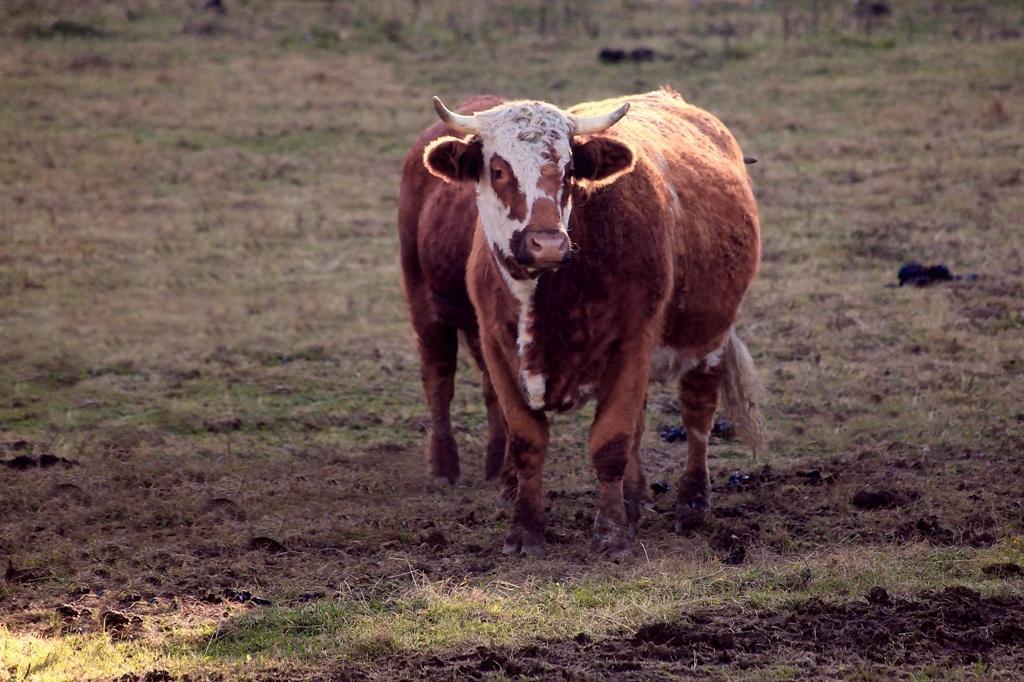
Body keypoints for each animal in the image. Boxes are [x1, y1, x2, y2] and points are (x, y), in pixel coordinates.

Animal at [395, 87, 765, 557]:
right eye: (498, 170)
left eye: (570, 171)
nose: (548, 243)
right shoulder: (497, 347)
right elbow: (527, 440)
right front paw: (526, 530)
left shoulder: (633, 345)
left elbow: (611, 441)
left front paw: (611, 533)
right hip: (424, 303)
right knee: (439, 378)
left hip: (710, 334)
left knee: (697, 415)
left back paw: (692, 504)